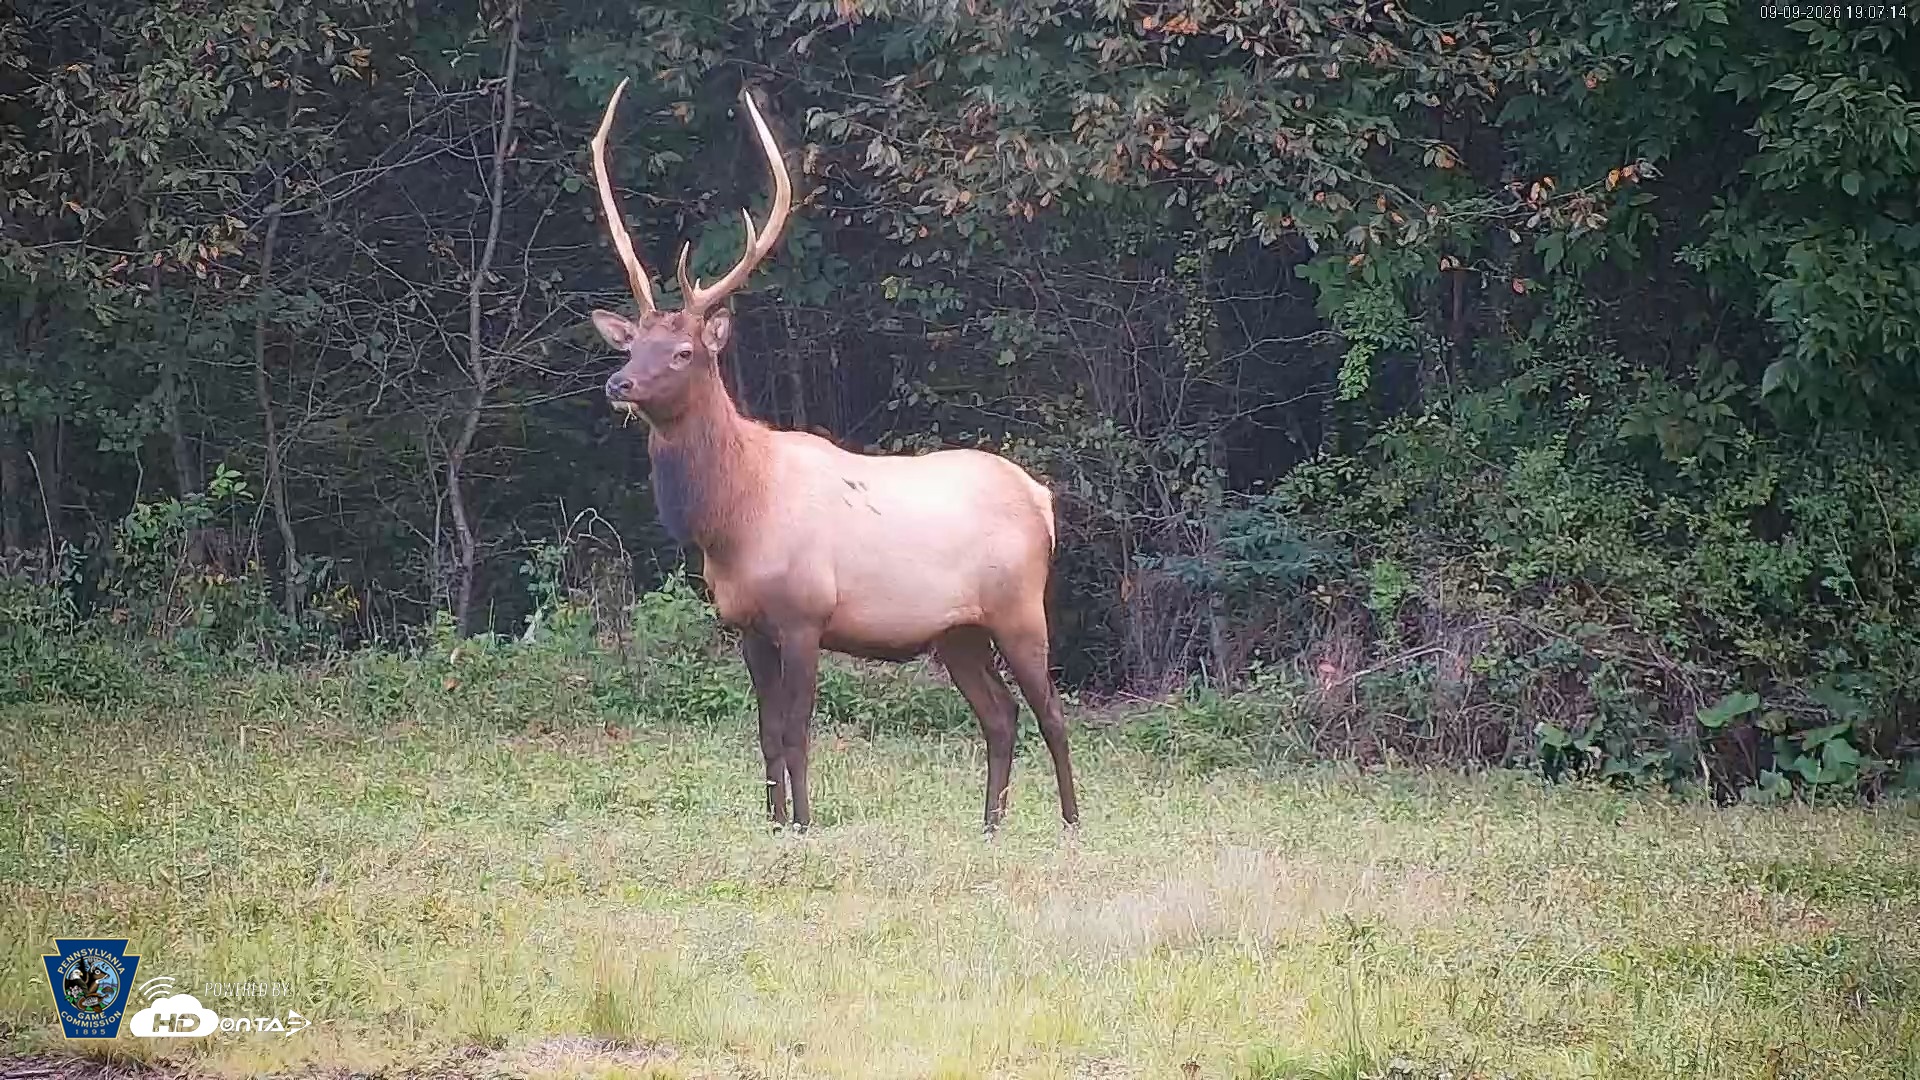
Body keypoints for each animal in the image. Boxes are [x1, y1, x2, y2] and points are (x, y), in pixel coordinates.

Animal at [587, 79, 1081, 837]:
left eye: (684, 351)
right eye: (631, 343)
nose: (620, 384)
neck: (733, 520)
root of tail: (1043, 499)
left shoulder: (805, 614)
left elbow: (797, 730)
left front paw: (803, 824)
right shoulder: (746, 624)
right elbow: (765, 732)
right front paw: (771, 822)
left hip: (1020, 606)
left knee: (1051, 712)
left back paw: (1070, 823)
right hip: (957, 630)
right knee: (999, 717)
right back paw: (990, 825)